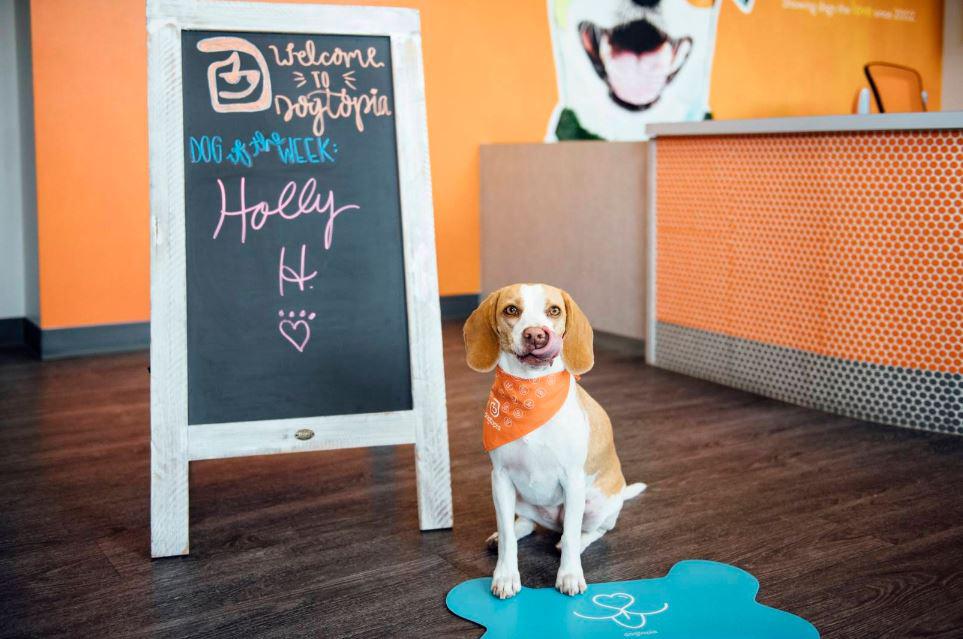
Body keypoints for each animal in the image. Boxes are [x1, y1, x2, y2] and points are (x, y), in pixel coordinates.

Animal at [463, 283, 646, 598]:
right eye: (511, 309)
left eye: (554, 310)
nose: (537, 335)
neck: (530, 391)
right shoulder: (500, 478)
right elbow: (509, 538)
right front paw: (505, 576)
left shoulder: (572, 480)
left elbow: (572, 535)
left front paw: (570, 575)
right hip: (519, 499)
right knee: (525, 524)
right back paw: (506, 535)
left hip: (596, 506)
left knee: (592, 531)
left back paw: (576, 541)